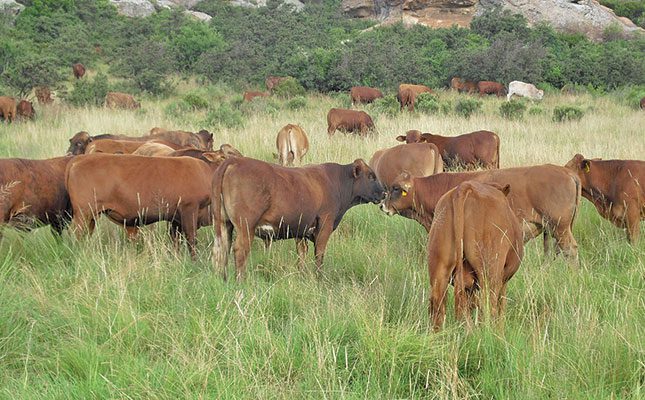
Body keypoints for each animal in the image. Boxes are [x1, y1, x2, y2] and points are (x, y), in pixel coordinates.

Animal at [66, 149, 239, 257]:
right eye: (226, 157)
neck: (203, 170)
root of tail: (78, 159)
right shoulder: (189, 209)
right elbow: (191, 239)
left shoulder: (174, 217)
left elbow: (175, 240)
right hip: (83, 214)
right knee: (76, 235)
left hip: (91, 216)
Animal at [211, 157, 386, 281]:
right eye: (371, 176)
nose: (384, 193)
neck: (337, 182)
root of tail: (235, 160)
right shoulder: (325, 224)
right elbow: (319, 254)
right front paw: (319, 279)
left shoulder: (301, 231)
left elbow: (301, 255)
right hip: (246, 226)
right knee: (240, 251)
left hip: (224, 224)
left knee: (221, 251)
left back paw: (223, 279)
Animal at [426, 181, 523, 330]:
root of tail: (465, 186)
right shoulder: (503, 280)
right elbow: (501, 306)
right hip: (490, 270)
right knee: (488, 303)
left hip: (439, 265)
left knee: (438, 302)